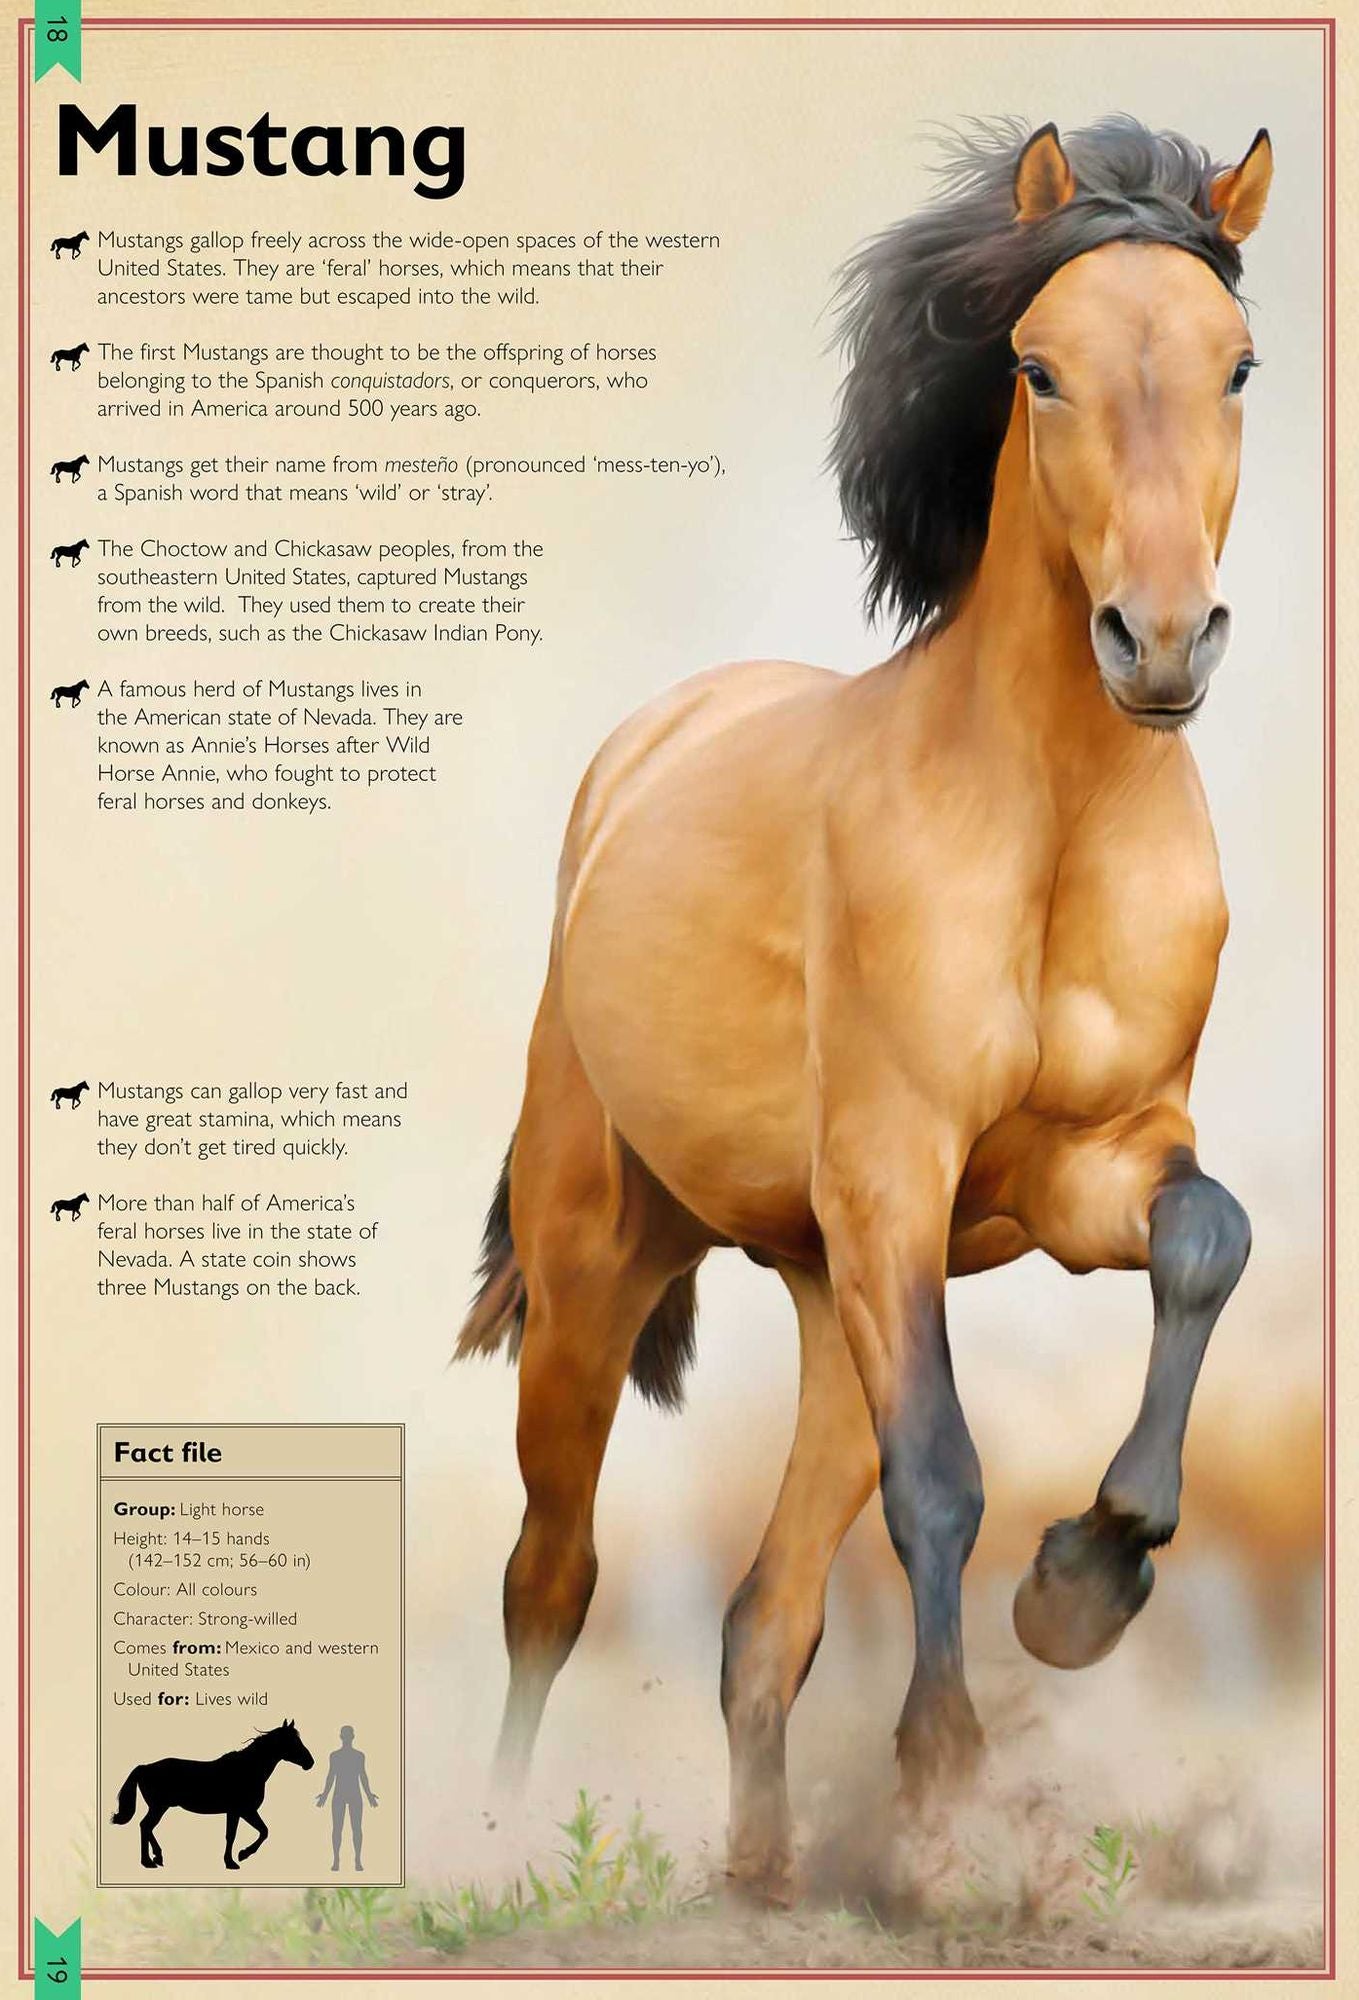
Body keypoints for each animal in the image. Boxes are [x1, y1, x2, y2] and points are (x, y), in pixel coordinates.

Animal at [110, 1720, 315, 1871]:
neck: (247, 1769)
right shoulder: (243, 1811)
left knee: (147, 1827)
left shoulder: (237, 1812)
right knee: (145, 1826)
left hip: (161, 1807)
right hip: (159, 1807)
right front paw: (237, 1858)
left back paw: (157, 1857)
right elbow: (256, 1832)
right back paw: (148, 1861)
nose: (310, 1762)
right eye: (292, 1741)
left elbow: (243, 1834)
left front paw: (233, 1859)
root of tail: (144, 1767)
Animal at [454, 116, 1273, 1903]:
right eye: (1036, 367)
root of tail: (639, 754)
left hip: (829, 1291)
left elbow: (1205, 1241)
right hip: (600, 1264)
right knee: (551, 1575)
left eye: (1237, 363)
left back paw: (769, 1876)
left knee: (762, 1618)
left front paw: (1084, 1583)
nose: (1158, 642)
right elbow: (942, 1481)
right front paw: (947, 1762)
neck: (1045, 826)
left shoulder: (1085, 1168)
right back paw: (486, 1856)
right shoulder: (899, 1173)